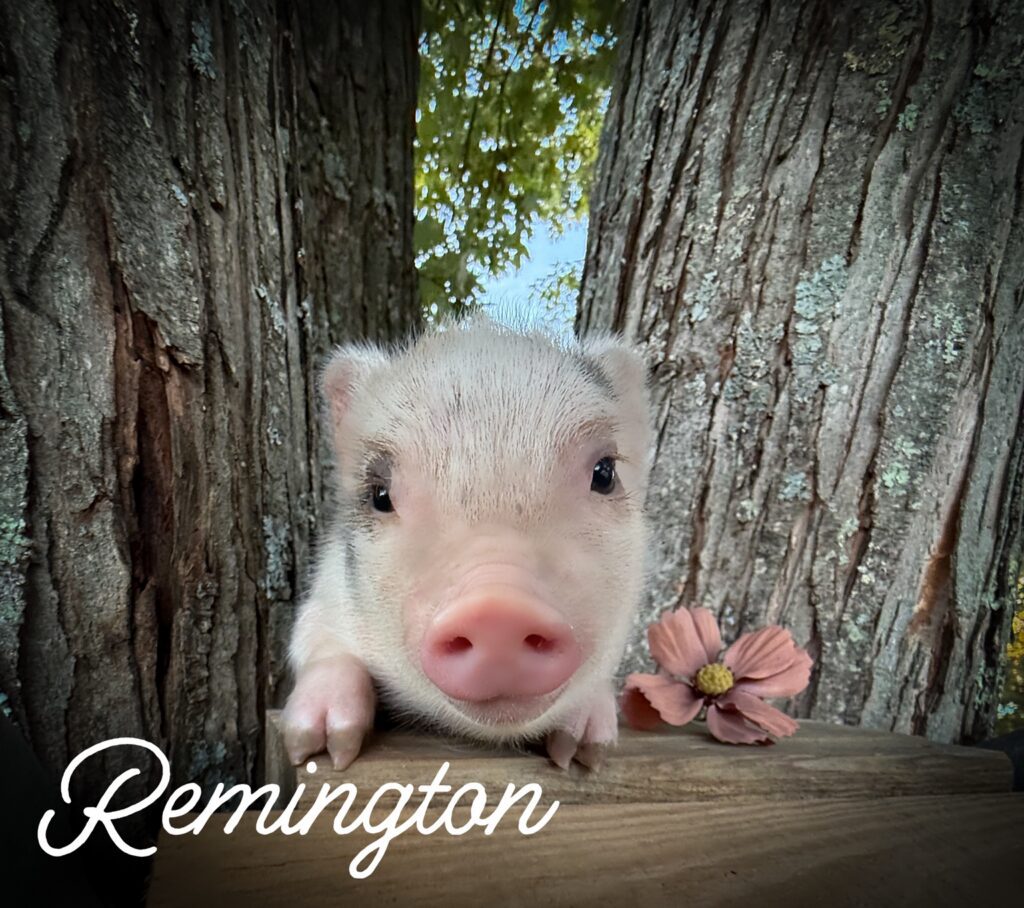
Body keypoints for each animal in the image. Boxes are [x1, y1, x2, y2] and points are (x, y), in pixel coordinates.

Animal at [282, 317, 653, 771]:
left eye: (604, 473)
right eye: (379, 494)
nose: (497, 609)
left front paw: (584, 756)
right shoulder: (324, 596)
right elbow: (320, 646)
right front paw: (317, 748)